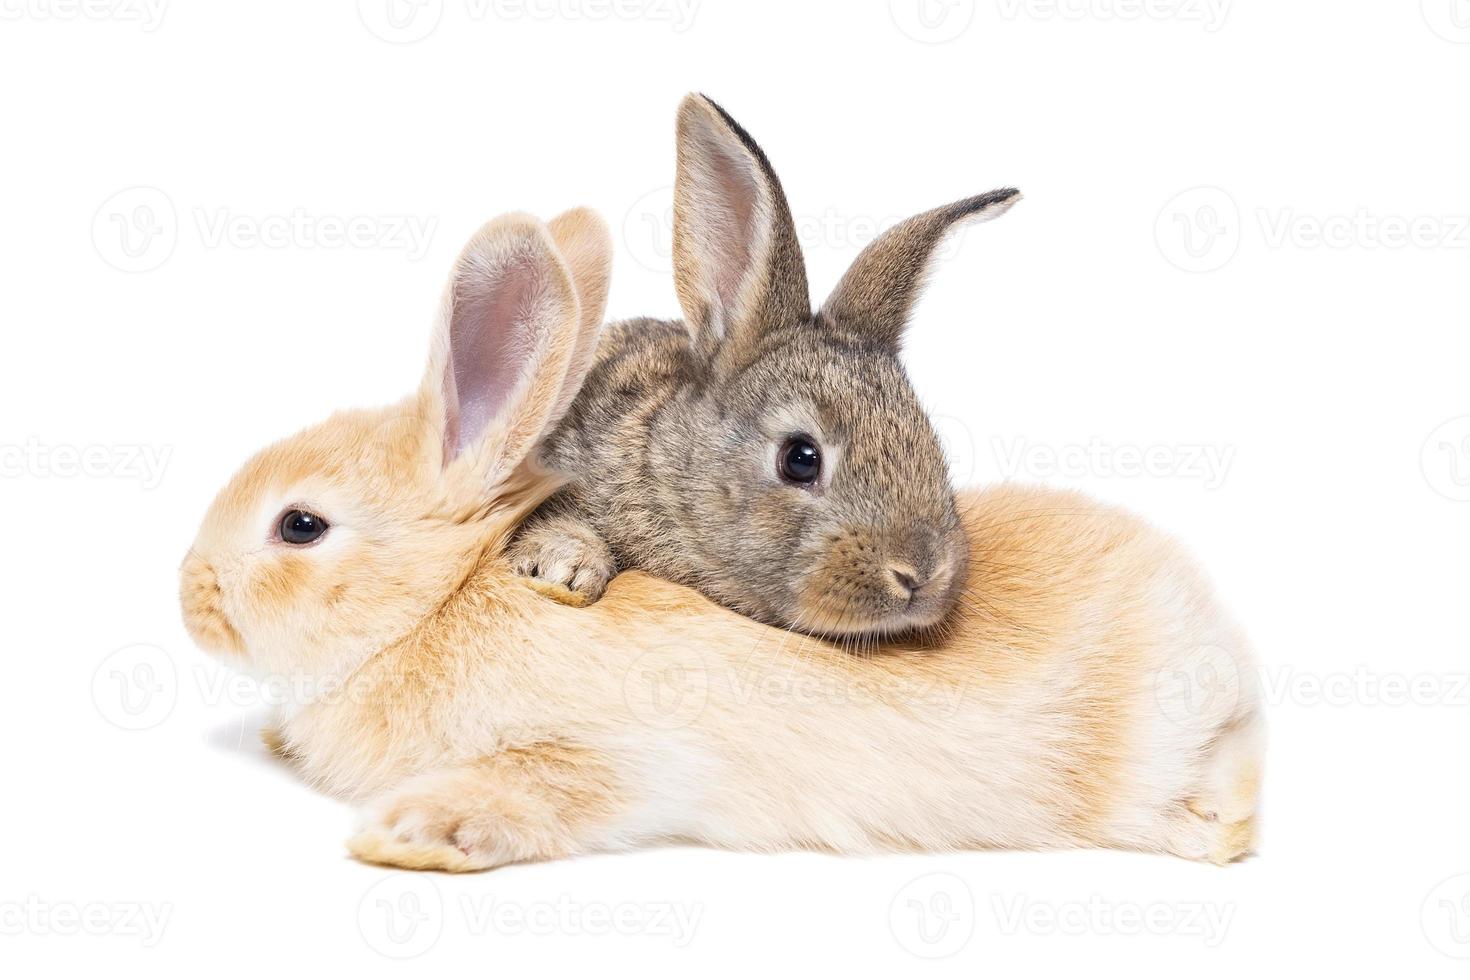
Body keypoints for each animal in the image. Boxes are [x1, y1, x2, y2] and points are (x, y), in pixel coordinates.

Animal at [180, 208, 1264, 875]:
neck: (431, 605)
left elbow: (543, 787)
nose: (190, 593)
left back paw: (1218, 828)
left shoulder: (620, 752)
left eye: (301, 525)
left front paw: (410, 832)